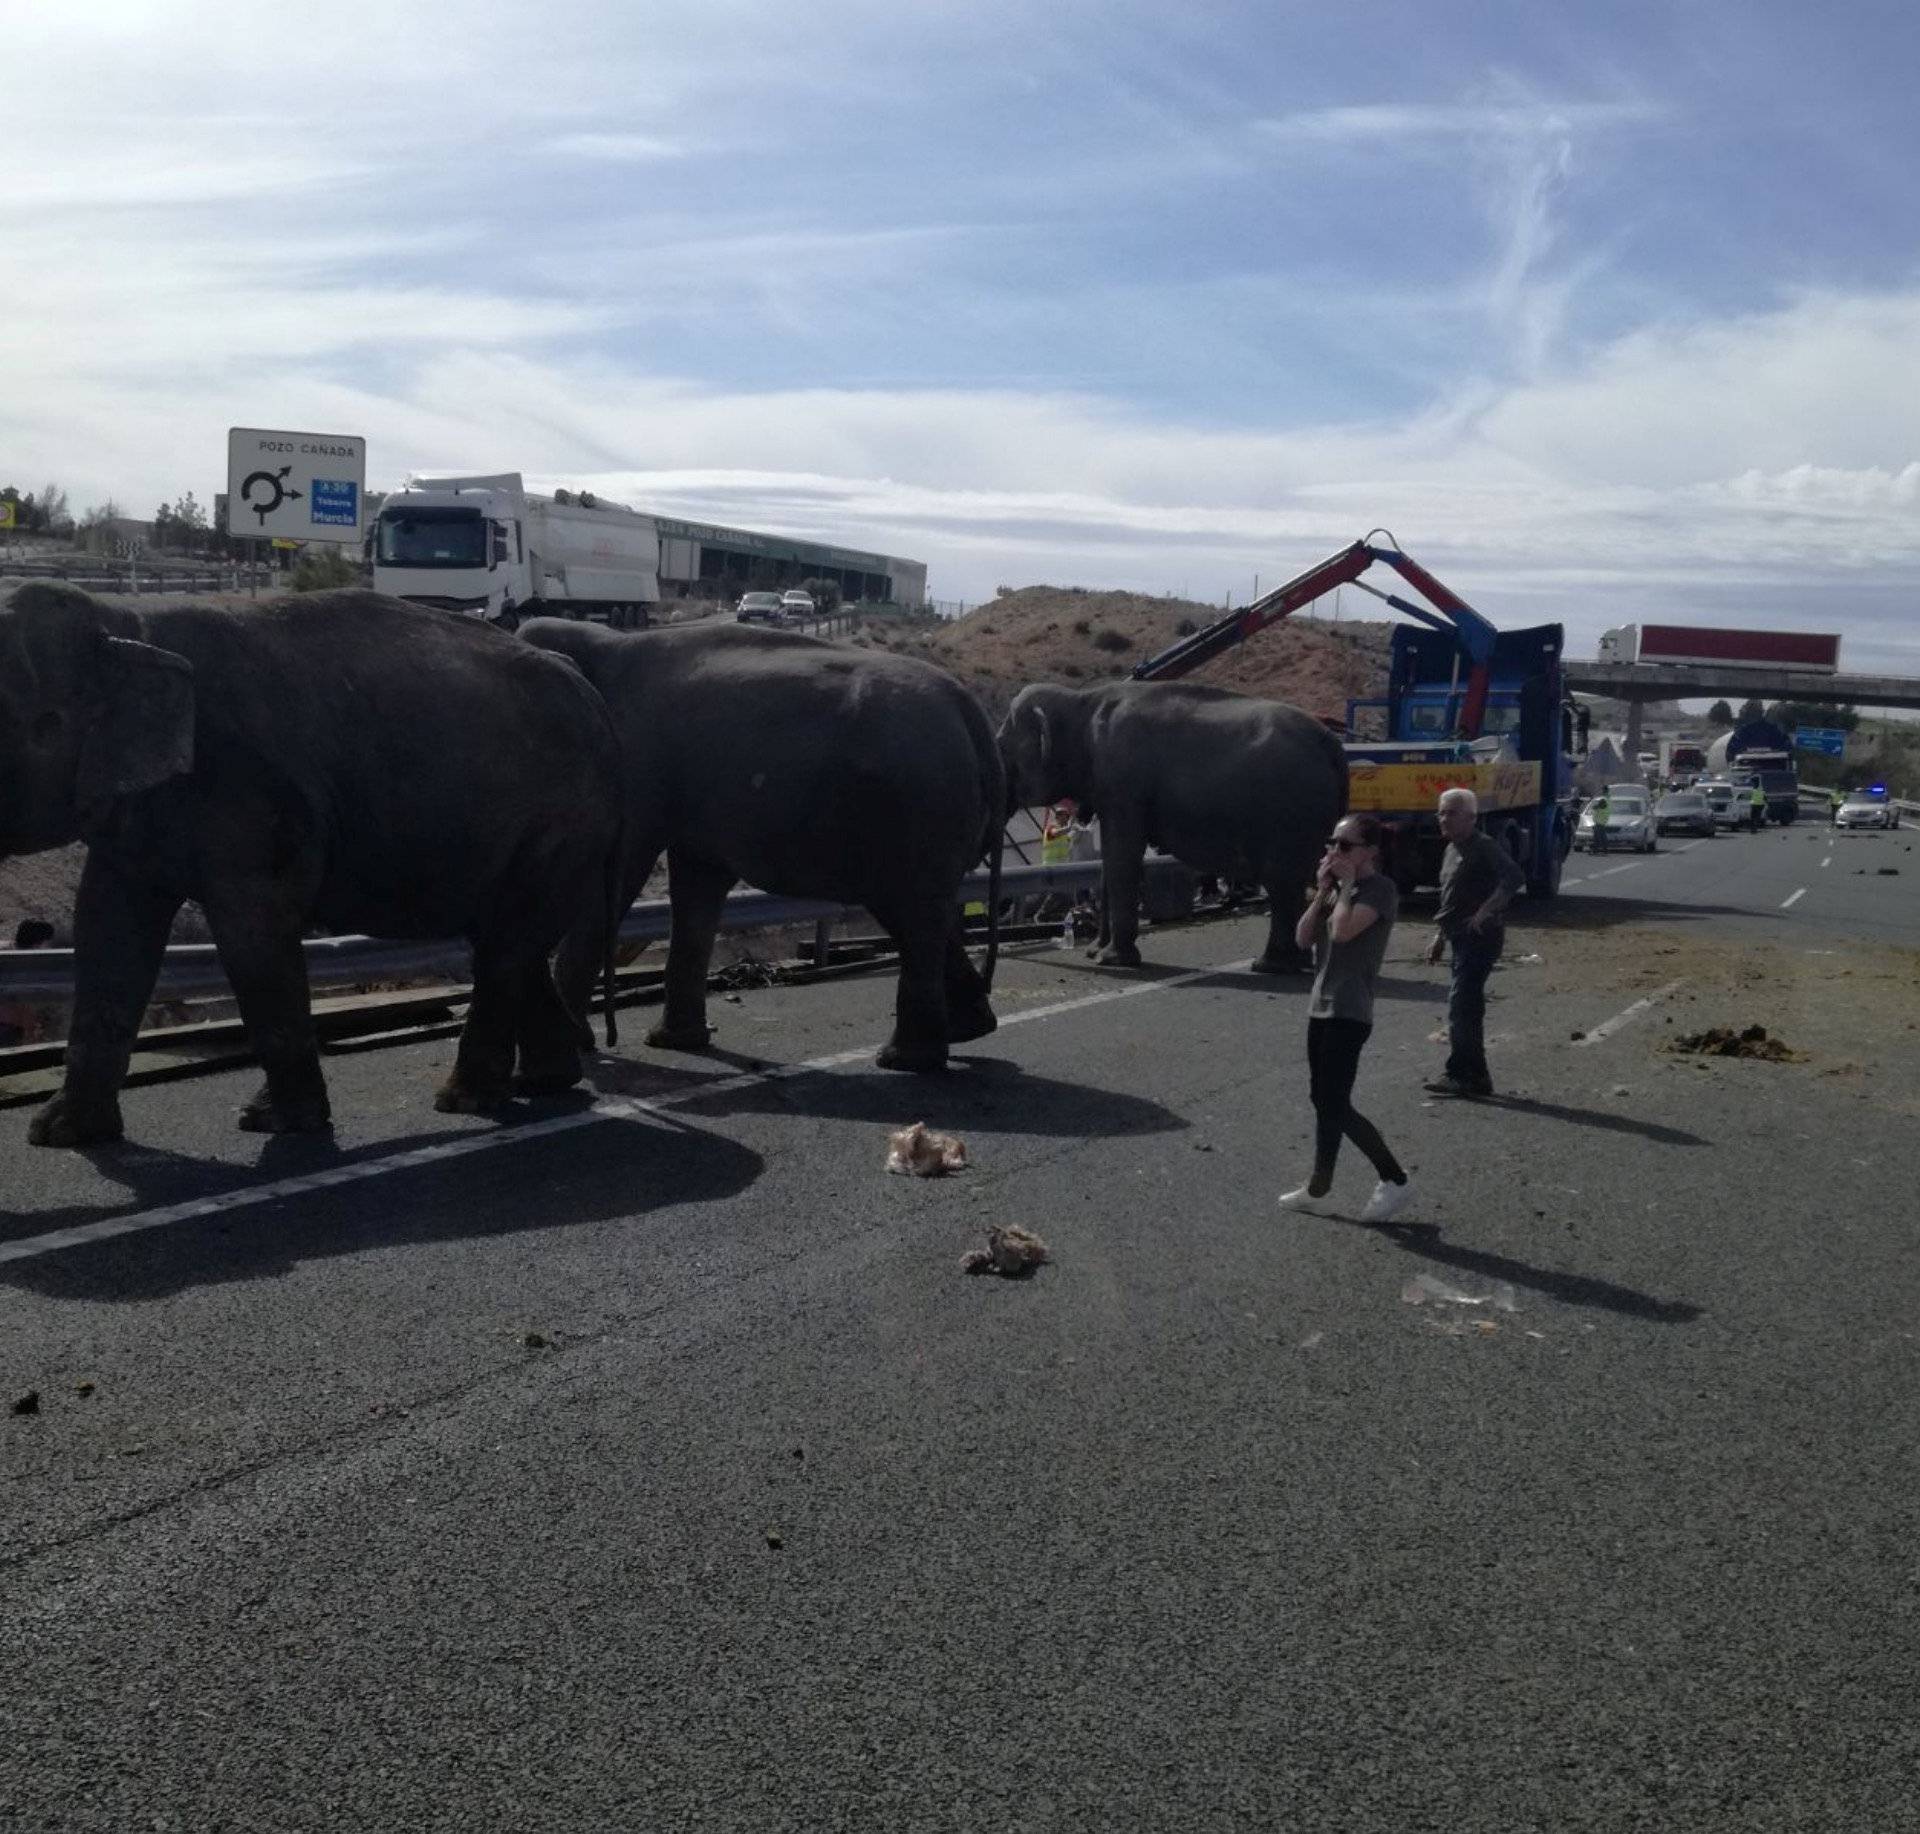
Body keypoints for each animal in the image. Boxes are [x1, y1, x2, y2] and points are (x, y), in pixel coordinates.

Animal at [1, 583, 622, 1144]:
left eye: (35, 723)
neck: (126, 622)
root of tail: (593, 696)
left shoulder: (249, 788)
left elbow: (253, 932)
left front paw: (280, 1124)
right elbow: (108, 930)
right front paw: (60, 1135)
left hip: (559, 820)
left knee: (507, 944)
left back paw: (464, 1100)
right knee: (507, 941)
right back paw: (544, 1081)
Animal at [518, 622, 1013, 1075]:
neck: (605, 640)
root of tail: (972, 715)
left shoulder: (639, 769)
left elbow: (621, 878)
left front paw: (583, 1048)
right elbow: (696, 886)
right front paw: (673, 1043)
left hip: (920, 810)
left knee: (912, 916)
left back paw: (903, 1060)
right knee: (919, 915)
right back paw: (967, 1031)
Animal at [1006, 679, 1351, 975]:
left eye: (1001, 750)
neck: (1081, 699)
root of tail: (1333, 747)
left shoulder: (1123, 781)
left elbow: (1122, 855)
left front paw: (1112, 960)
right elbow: (1109, 860)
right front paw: (1095, 952)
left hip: (1290, 812)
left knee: (1282, 882)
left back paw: (1269, 965)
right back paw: (1297, 962)